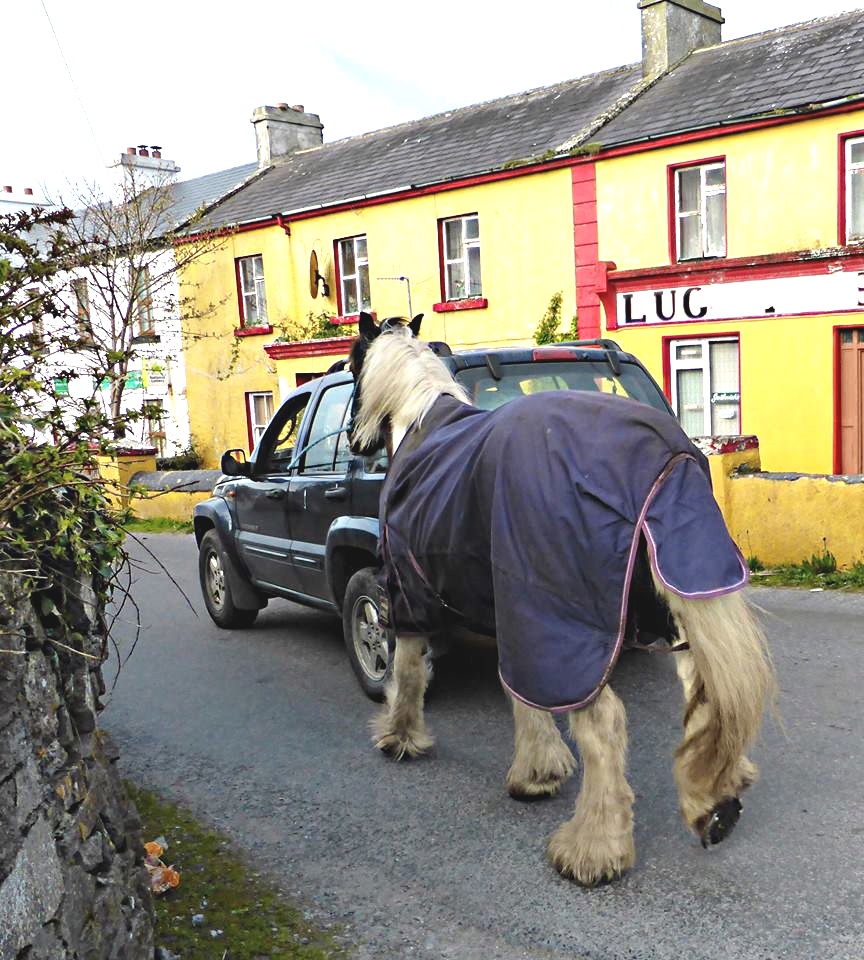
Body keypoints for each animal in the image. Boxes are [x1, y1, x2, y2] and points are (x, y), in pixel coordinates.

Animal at [344, 314, 776, 884]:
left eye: (352, 366)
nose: (351, 440)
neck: (421, 422)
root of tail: (662, 455)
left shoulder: (415, 596)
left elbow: (410, 671)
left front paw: (400, 736)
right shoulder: (510, 609)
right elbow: (519, 690)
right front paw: (539, 769)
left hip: (570, 617)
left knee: (606, 726)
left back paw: (593, 850)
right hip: (672, 604)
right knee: (705, 694)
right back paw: (716, 796)